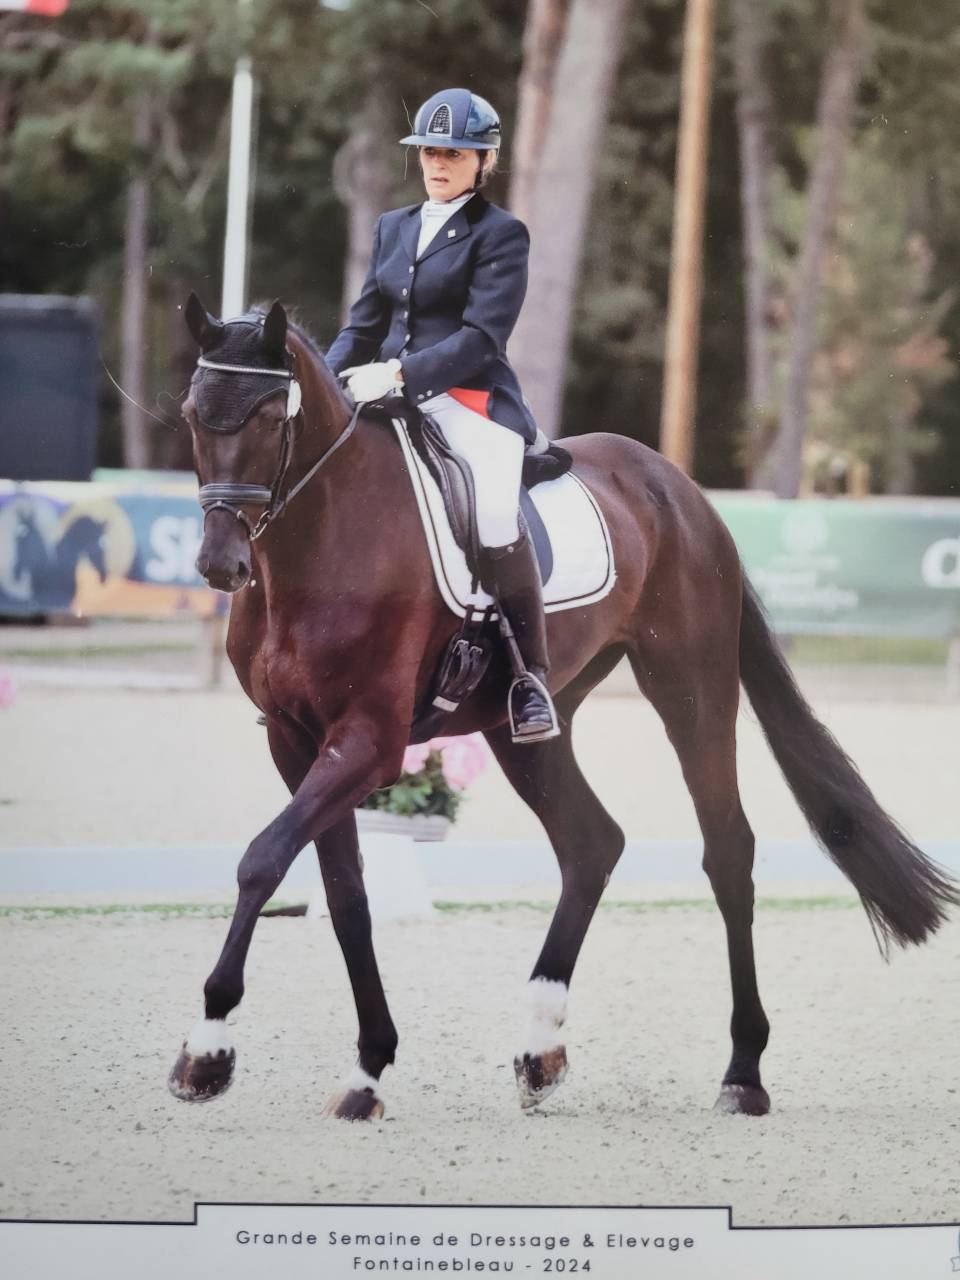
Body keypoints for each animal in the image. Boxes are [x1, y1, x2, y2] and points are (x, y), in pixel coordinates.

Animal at [169, 293, 958, 1121]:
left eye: (267, 417)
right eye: (192, 414)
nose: (219, 564)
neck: (320, 547)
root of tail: (679, 488)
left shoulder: (368, 742)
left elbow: (261, 861)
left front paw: (207, 1051)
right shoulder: (294, 741)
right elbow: (344, 894)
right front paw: (367, 1071)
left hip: (691, 688)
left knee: (727, 852)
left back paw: (743, 1072)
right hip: (526, 727)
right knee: (591, 844)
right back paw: (540, 1050)